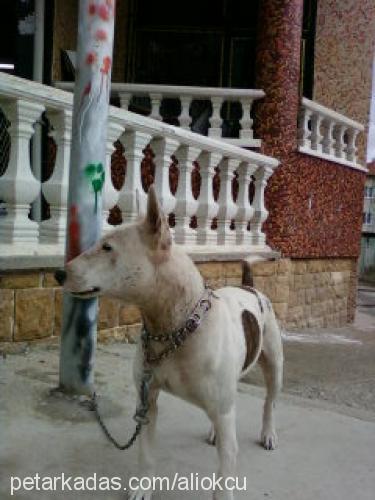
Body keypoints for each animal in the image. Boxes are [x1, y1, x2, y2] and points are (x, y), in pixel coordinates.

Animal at [62, 187, 284, 500]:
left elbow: (225, 470)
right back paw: (214, 432)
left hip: (274, 366)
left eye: (107, 248)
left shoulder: (224, 411)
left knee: (269, 403)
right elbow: (146, 452)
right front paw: (142, 488)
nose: (59, 273)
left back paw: (268, 434)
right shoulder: (147, 400)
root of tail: (249, 287)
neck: (174, 329)